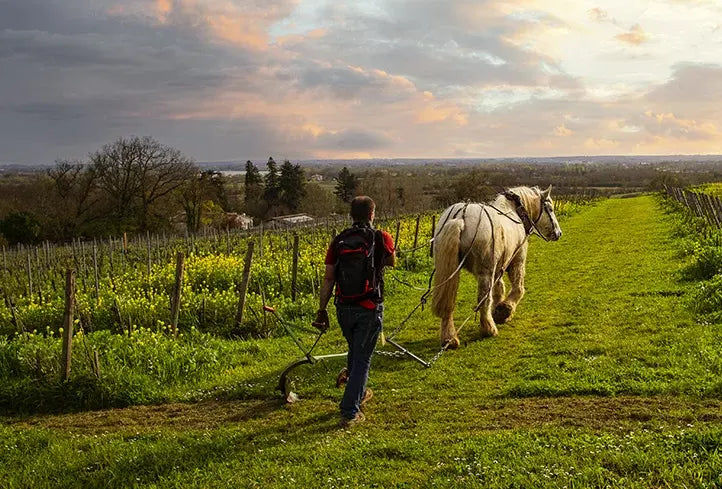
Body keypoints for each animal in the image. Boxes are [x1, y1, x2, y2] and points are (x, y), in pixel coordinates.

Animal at [431, 185, 562, 349]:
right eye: (550, 209)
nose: (558, 233)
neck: (515, 213)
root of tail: (460, 218)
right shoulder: (517, 259)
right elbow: (518, 288)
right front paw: (505, 310)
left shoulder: (498, 267)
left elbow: (499, 288)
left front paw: (499, 309)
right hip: (485, 272)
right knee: (484, 300)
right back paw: (489, 329)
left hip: (452, 271)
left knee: (448, 302)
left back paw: (449, 338)